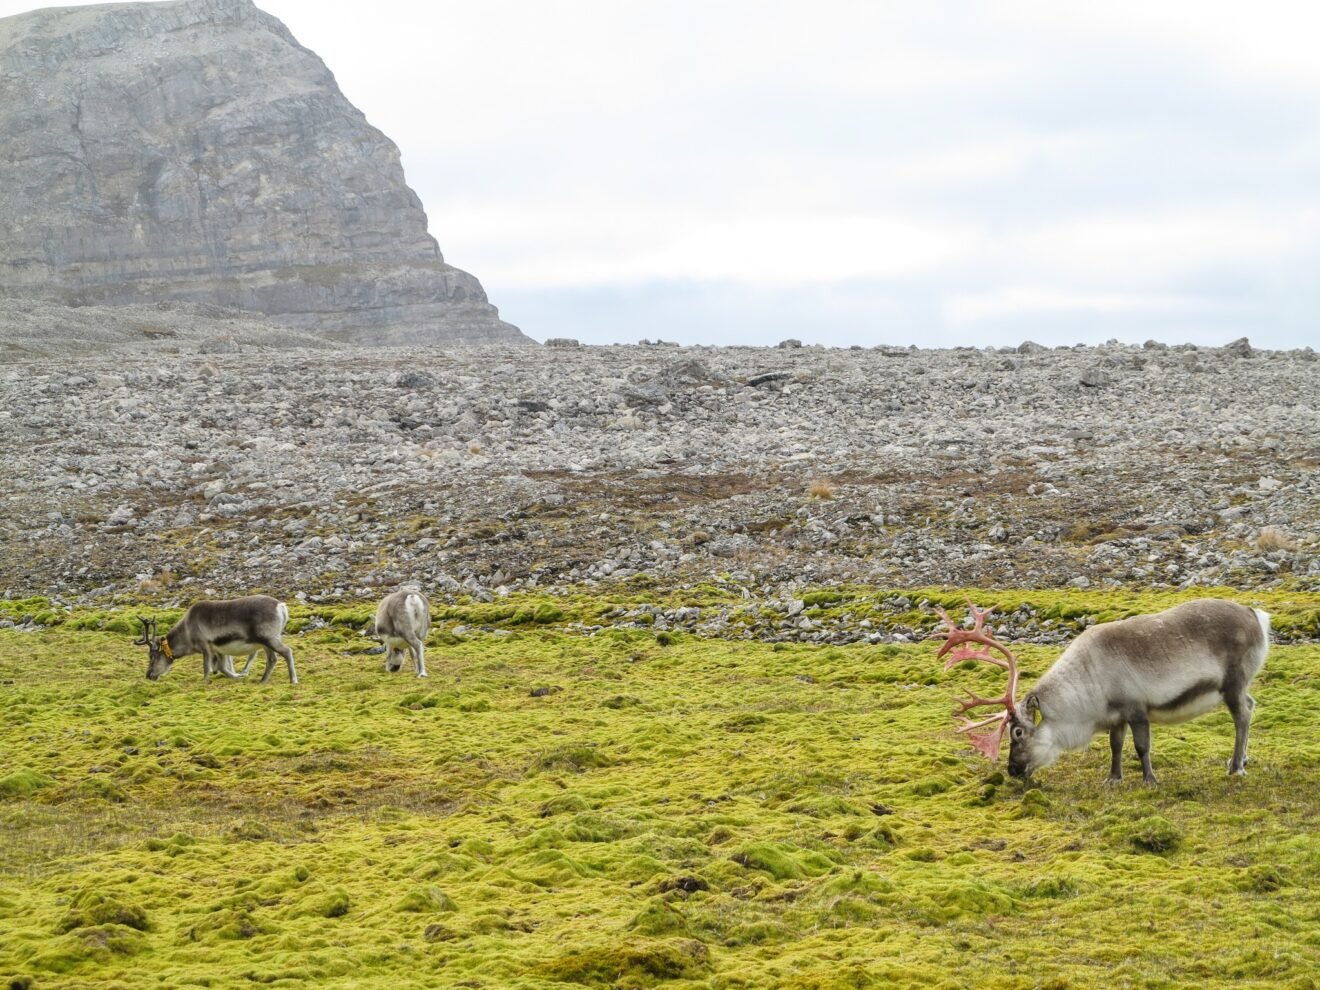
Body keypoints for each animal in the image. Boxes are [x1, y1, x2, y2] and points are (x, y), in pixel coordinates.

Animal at [137, 594, 298, 684]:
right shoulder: (219, 649)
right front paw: (238, 677)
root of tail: (281, 606)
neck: (187, 632)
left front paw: (204, 682)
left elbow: (206, 667)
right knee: (272, 659)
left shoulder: (205, 646)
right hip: (265, 643)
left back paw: (293, 680)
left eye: (152, 656)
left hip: (269, 638)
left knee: (287, 651)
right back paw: (262, 681)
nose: (148, 675)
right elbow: (222, 668)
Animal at [932, 599, 1270, 784]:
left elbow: (1141, 747)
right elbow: (1115, 746)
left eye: (1017, 732)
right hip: (1239, 685)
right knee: (1251, 705)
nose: (1013, 770)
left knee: (1242, 715)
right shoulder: (1115, 716)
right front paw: (1113, 778)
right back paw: (1242, 760)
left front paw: (1150, 779)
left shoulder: (1136, 708)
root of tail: (1255, 615)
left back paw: (1235, 767)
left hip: (1233, 681)